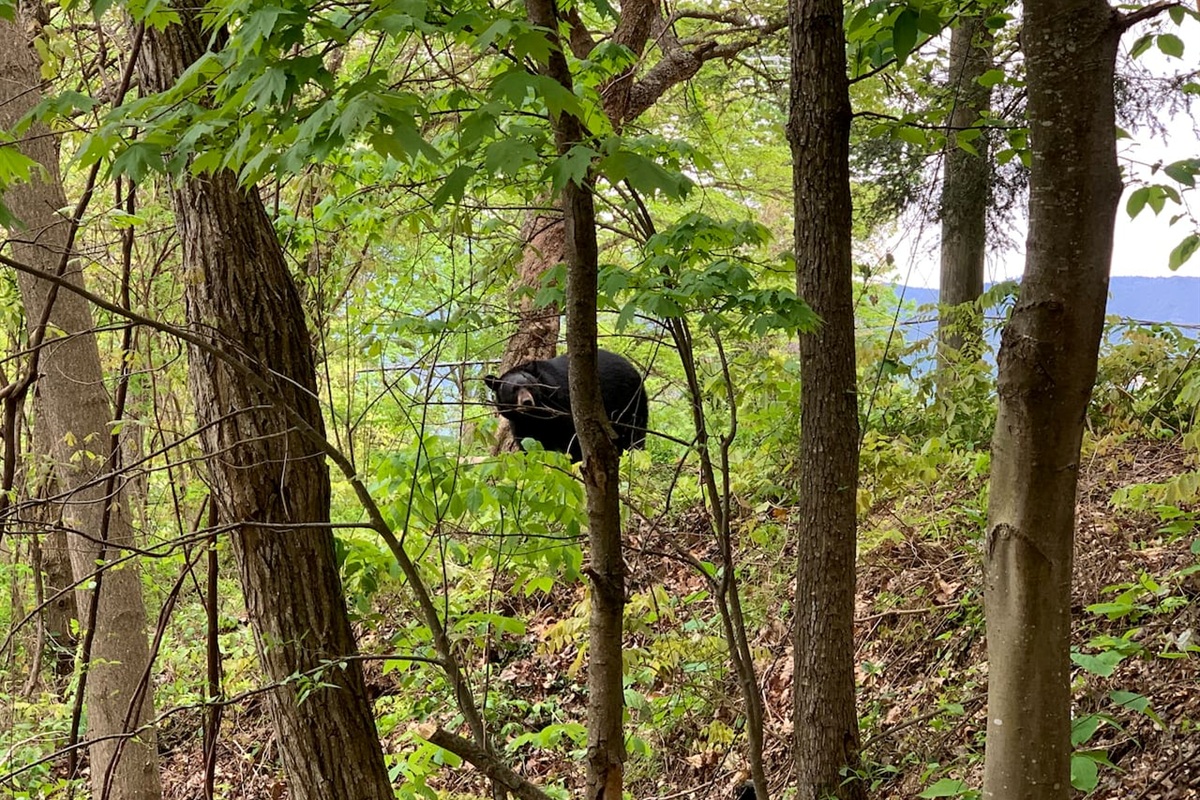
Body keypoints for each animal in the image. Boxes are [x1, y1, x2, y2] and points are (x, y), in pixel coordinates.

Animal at [484, 349, 648, 462]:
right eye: (514, 390)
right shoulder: (520, 423)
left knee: (634, 432)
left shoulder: (564, 406)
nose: (527, 402)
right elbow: (529, 443)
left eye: (530, 386)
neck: (537, 416)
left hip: (629, 400)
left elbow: (573, 438)